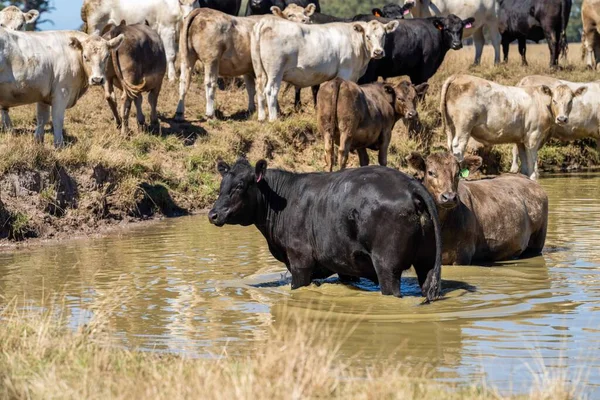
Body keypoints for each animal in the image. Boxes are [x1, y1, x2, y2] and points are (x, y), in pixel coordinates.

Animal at [209, 158, 442, 302]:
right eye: (221, 186)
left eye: (239, 186)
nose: (213, 214)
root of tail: (410, 185)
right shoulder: (344, 263)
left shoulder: (300, 261)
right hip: (427, 261)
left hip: (387, 266)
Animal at [252, 18, 398, 121]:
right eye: (367, 36)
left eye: (384, 35)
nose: (378, 52)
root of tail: (266, 22)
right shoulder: (346, 72)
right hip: (275, 70)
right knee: (270, 91)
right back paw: (273, 119)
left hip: (260, 71)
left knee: (259, 90)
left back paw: (261, 117)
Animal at [440, 74, 584, 180]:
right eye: (554, 100)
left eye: (570, 101)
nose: (562, 119)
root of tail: (458, 76)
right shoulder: (533, 137)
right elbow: (532, 168)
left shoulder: (521, 140)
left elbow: (525, 167)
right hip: (464, 125)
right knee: (458, 146)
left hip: (451, 126)